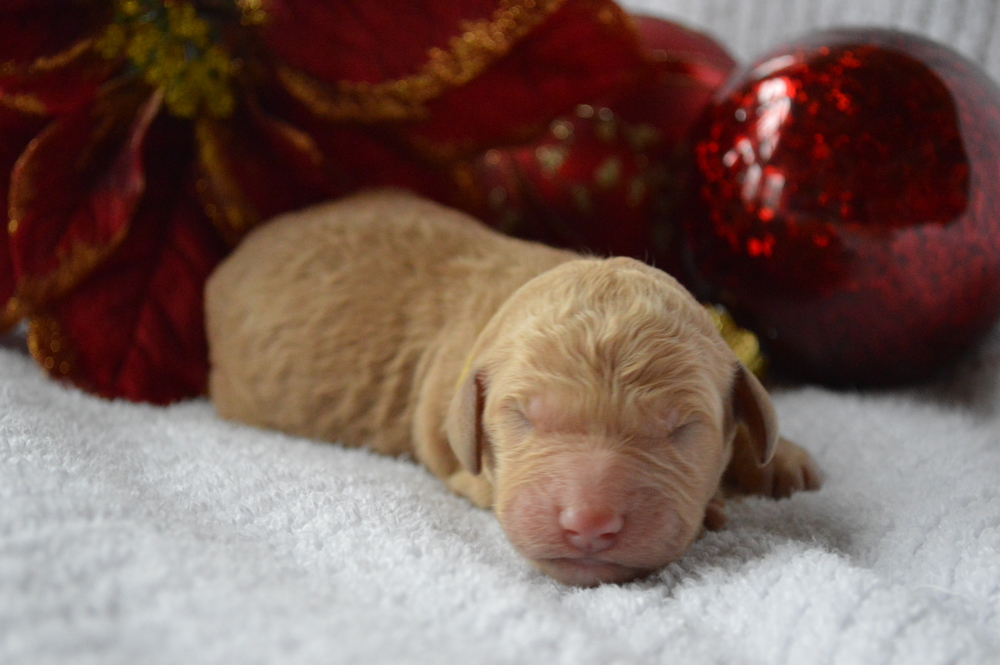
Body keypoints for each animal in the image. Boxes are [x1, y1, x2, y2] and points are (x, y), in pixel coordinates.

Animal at [205, 188, 820, 588]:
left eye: (683, 429)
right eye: (522, 418)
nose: (589, 523)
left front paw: (779, 461)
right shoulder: (446, 430)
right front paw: (718, 504)